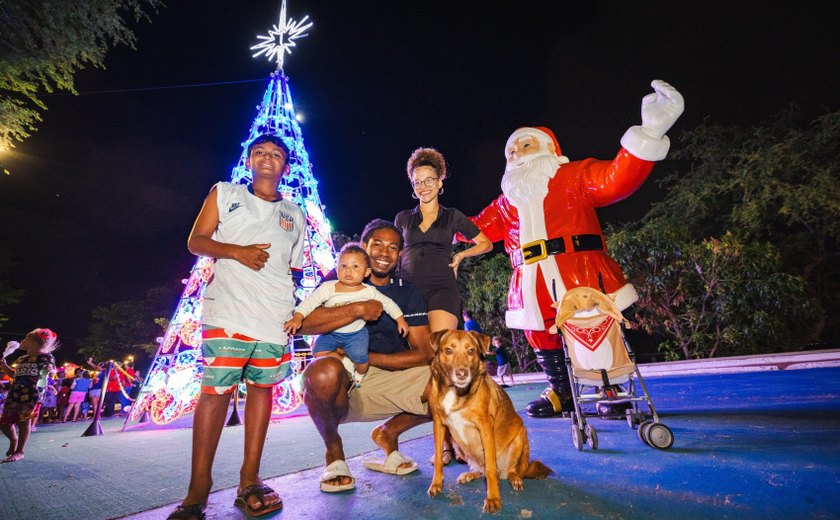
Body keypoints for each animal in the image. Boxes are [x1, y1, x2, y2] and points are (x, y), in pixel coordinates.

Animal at [426, 330, 552, 512]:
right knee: (482, 471)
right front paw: (436, 484)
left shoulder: (485, 426)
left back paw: (515, 478)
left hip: (520, 436)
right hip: (459, 447)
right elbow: (438, 459)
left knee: (508, 471)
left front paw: (493, 498)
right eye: (448, 350)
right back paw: (470, 474)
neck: (455, 391)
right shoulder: (438, 424)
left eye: (471, 351)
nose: (462, 374)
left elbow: (491, 469)